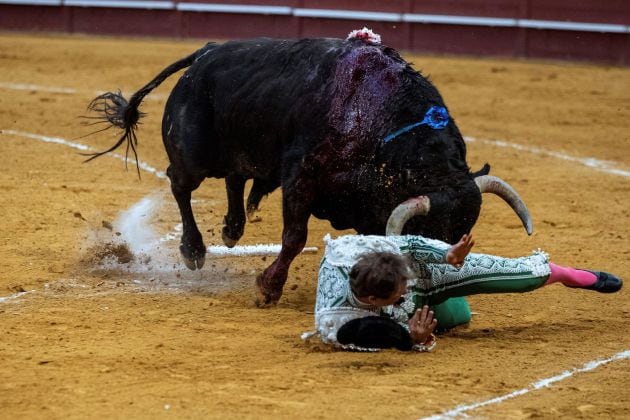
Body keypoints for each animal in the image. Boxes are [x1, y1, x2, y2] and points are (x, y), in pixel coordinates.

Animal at [86, 36, 532, 304]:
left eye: (463, 231)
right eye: (428, 232)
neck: (378, 120)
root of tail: (207, 52)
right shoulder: (301, 178)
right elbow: (294, 238)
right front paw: (267, 288)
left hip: (247, 148)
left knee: (235, 177)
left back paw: (231, 229)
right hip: (194, 156)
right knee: (180, 184)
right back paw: (194, 250)